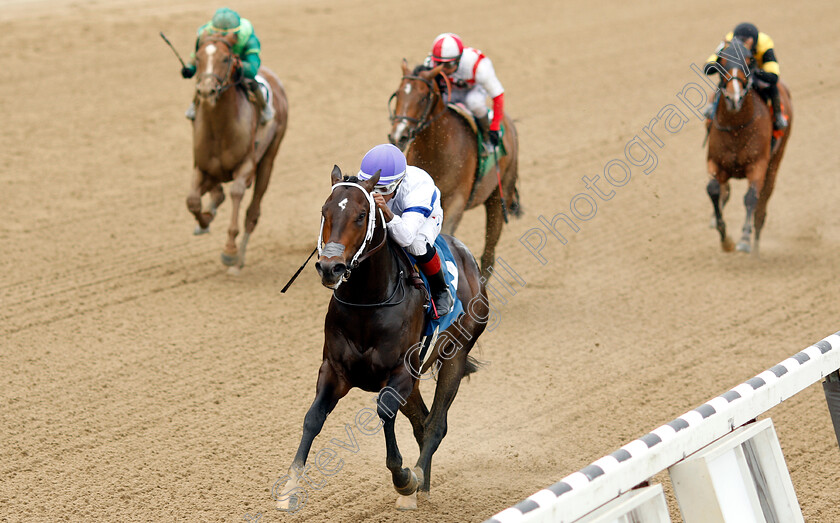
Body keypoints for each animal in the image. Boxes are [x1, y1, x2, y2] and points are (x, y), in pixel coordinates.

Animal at [185, 30, 288, 274]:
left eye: (225, 59)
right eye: (198, 58)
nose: (206, 91)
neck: (219, 128)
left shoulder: (246, 166)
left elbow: (236, 193)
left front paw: (229, 251)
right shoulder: (202, 167)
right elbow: (192, 200)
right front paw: (204, 220)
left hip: (269, 158)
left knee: (252, 212)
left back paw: (239, 260)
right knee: (216, 193)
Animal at [276, 168, 486, 512]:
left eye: (361, 215)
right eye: (325, 211)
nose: (330, 267)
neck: (368, 302)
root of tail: (468, 257)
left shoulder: (399, 372)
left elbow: (385, 411)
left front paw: (403, 479)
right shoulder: (334, 370)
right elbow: (313, 419)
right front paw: (289, 487)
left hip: (455, 353)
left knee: (436, 424)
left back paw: (417, 480)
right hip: (415, 381)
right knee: (422, 422)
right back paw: (421, 489)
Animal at [388, 61, 520, 278]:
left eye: (423, 97)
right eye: (398, 94)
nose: (398, 135)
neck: (437, 149)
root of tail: (507, 122)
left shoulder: (456, 200)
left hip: (498, 197)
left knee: (488, 256)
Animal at [704, 39, 792, 256]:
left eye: (748, 61)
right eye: (722, 61)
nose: (734, 98)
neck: (736, 129)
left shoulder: (758, 164)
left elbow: (751, 198)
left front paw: (744, 239)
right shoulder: (715, 161)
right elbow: (713, 189)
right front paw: (725, 238)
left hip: (774, 162)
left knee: (762, 203)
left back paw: (756, 246)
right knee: (725, 191)